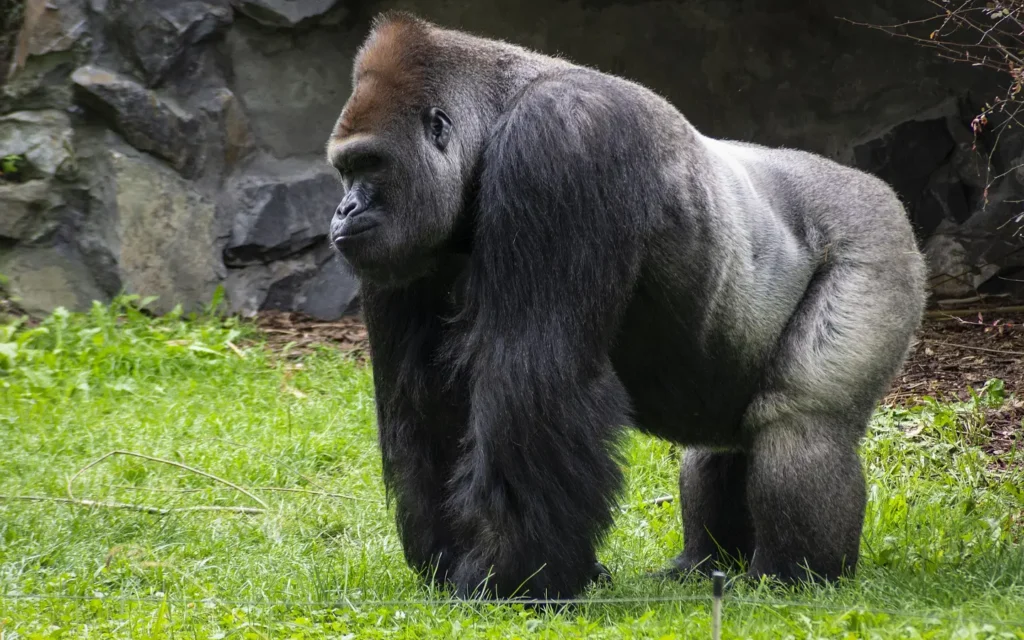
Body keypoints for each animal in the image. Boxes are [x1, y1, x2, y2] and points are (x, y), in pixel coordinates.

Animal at [324, 11, 927, 601]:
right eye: (345, 171)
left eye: (371, 164)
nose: (344, 210)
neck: (496, 114)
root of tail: (883, 192)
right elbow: (426, 401)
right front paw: (450, 559)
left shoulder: (561, 141)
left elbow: (532, 376)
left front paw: (510, 575)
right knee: (722, 444)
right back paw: (704, 562)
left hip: (875, 241)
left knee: (800, 425)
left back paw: (792, 576)